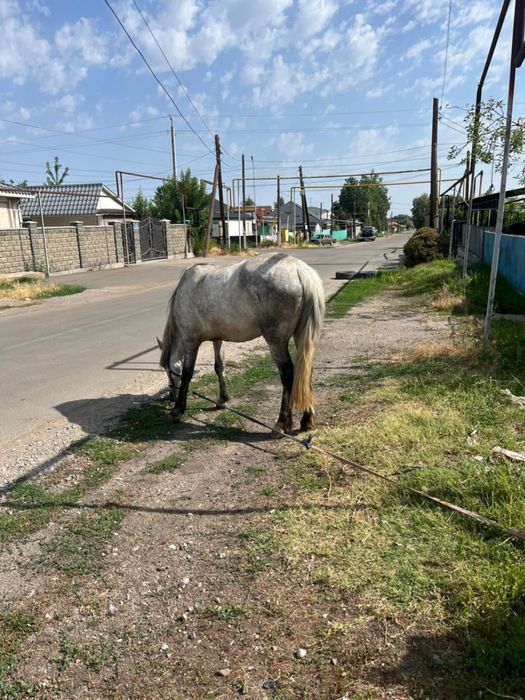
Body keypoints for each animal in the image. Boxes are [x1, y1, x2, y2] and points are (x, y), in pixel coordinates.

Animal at [158, 252, 325, 434]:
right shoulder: (217, 339)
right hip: (300, 337)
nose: (170, 396)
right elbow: (219, 367)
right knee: (305, 372)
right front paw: (222, 399)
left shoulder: (191, 340)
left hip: (276, 343)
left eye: (168, 371)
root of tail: (299, 269)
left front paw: (178, 410)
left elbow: (187, 373)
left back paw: (281, 423)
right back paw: (307, 419)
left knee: (288, 375)